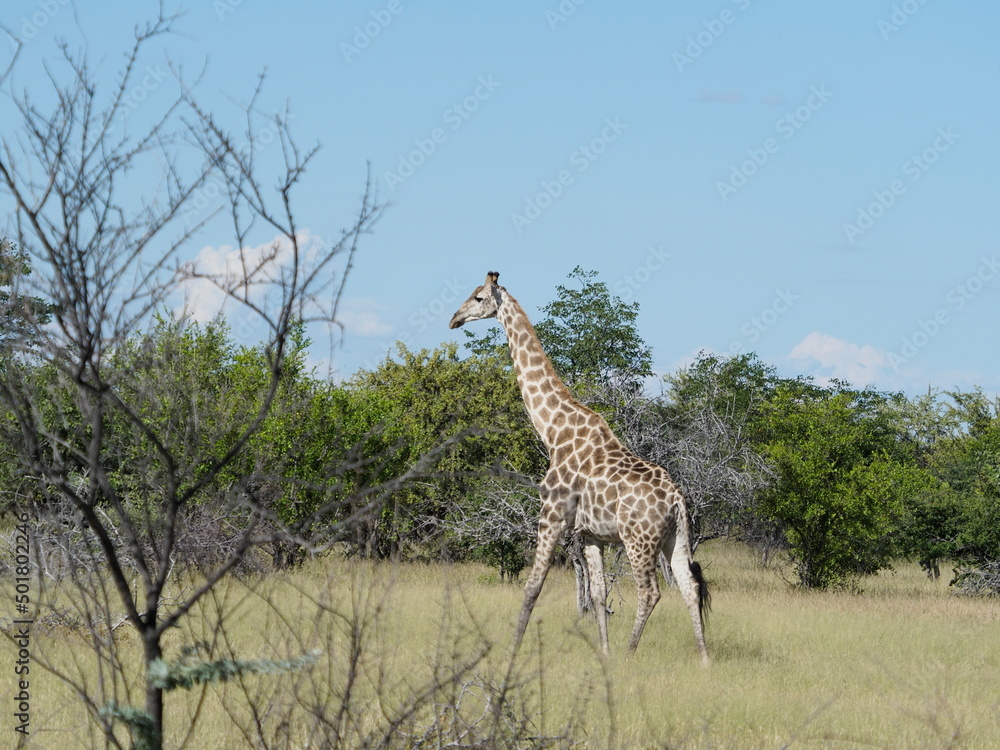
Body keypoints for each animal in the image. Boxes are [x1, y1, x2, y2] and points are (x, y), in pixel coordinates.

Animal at [449, 272, 709, 662]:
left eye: (479, 297)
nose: (455, 319)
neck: (553, 429)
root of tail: (677, 500)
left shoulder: (552, 513)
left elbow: (533, 585)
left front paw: (511, 651)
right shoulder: (590, 534)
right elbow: (598, 594)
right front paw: (603, 652)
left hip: (638, 540)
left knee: (651, 592)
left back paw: (630, 652)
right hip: (676, 538)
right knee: (689, 586)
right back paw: (704, 659)